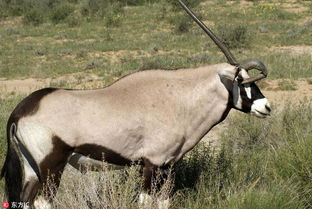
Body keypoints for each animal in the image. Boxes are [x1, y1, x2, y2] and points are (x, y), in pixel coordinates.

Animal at [0, 0, 270, 208]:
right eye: (242, 81)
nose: (266, 107)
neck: (179, 98)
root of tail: (20, 112)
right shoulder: (153, 164)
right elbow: (145, 201)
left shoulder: (168, 166)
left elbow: (164, 202)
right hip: (51, 167)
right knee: (42, 202)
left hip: (31, 170)